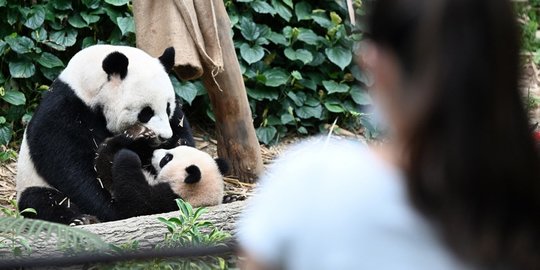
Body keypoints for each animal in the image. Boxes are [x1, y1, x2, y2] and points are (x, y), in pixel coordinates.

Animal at [15, 44, 195, 225]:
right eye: (146, 112)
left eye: (167, 108)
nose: (164, 137)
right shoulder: (64, 112)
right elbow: (71, 166)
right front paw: (114, 208)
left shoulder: (175, 120)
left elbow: (182, 137)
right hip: (32, 183)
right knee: (41, 200)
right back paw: (81, 219)